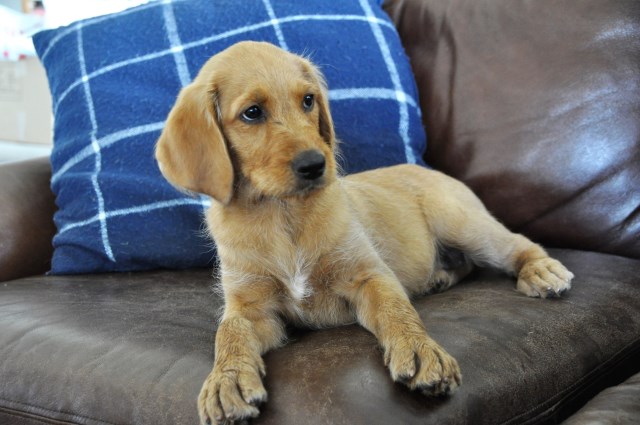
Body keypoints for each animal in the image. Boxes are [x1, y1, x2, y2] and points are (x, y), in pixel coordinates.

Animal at [156, 40, 576, 424]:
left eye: (308, 101)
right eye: (252, 113)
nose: (315, 164)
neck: (283, 215)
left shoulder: (369, 276)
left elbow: (397, 312)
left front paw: (420, 349)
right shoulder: (250, 308)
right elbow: (228, 335)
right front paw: (226, 379)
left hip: (461, 222)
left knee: (514, 244)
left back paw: (540, 270)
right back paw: (439, 277)